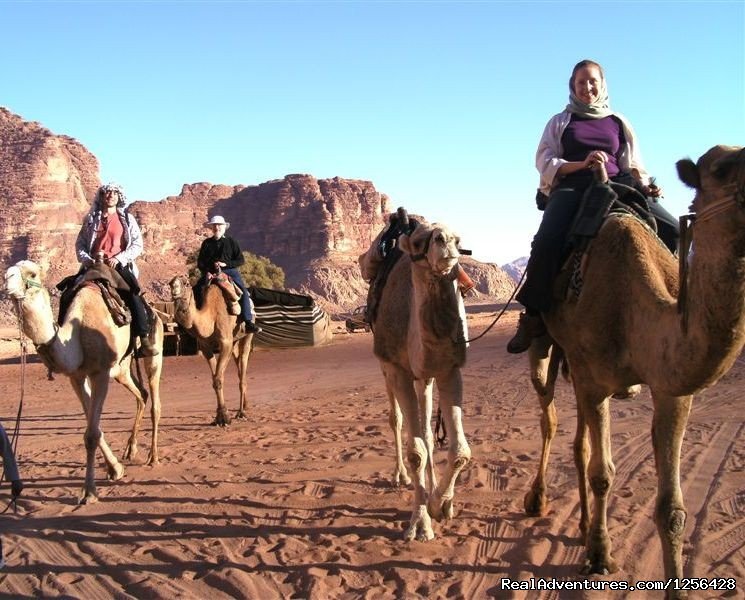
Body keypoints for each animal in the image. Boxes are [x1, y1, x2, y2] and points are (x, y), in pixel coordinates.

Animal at [4, 260, 164, 504]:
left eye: (32, 274)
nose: (6, 280)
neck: (76, 333)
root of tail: (155, 311)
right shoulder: (77, 377)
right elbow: (93, 427)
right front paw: (115, 469)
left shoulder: (101, 373)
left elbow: (91, 434)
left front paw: (89, 492)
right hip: (123, 368)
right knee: (141, 394)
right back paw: (130, 450)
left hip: (154, 350)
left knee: (155, 400)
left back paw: (153, 457)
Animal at [169, 276, 253, 426]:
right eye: (170, 283)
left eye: (186, 283)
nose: (175, 290)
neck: (211, 317)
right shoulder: (206, 347)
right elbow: (215, 379)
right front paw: (219, 417)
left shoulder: (225, 342)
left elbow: (218, 379)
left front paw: (224, 418)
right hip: (234, 341)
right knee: (237, 364)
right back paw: (245, 405)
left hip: (247, 335)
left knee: (243, 362)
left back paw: (241, 412)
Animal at [360, 218, 470, 540]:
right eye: (421, 242)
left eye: (459, 240)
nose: (446, 241)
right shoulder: (398, 369)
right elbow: (416, 452)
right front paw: (420, 524)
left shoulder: (448, 370)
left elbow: (459, 451)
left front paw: (441, 504)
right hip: (385, 365)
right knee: (396, 419)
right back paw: (400, 476)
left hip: (426, 378)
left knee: (427, 430)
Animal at [524, 145, 744, 596]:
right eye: (720, 169)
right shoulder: (595, 381)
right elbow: (603, 474)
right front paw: (600, 556)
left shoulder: (670, 385)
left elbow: (672, 508)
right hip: (548, 349)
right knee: (549, 417)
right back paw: (538, 500)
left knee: (578, 441)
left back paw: (584, 523)